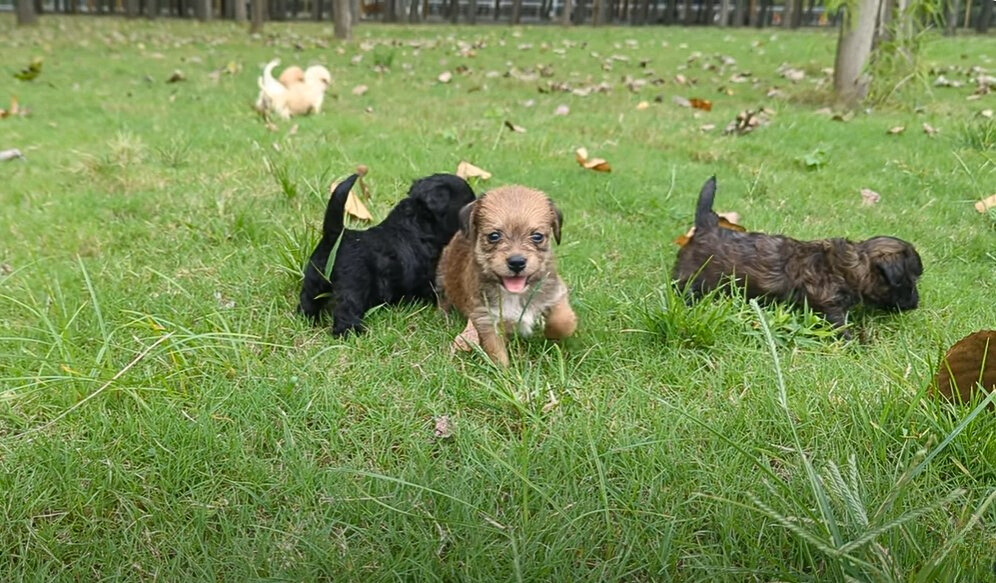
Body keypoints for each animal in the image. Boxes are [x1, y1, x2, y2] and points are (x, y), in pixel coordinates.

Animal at [298, 172, 476, 338]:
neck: (416, 225)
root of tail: (334, 237)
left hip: (313, 279)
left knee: (307, 300)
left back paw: (306, 320)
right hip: (353, 287)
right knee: (346, 310)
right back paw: (350, 333)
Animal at [438, 184, 576, 364]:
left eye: (537, 236)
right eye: (494, 236)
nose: (516, 262)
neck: (515, 294)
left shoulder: (555, 292)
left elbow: (564, 320)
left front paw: (551, 334)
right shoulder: (487, 318)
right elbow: (497, 352)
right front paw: (503, 371)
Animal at [672, 177, 924, 338]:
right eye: (911, 280)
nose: (917, 304)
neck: (853, 265)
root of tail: (707, 224)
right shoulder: (829, 304)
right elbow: (840, 326)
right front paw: (857, 343)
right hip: (691, 277)